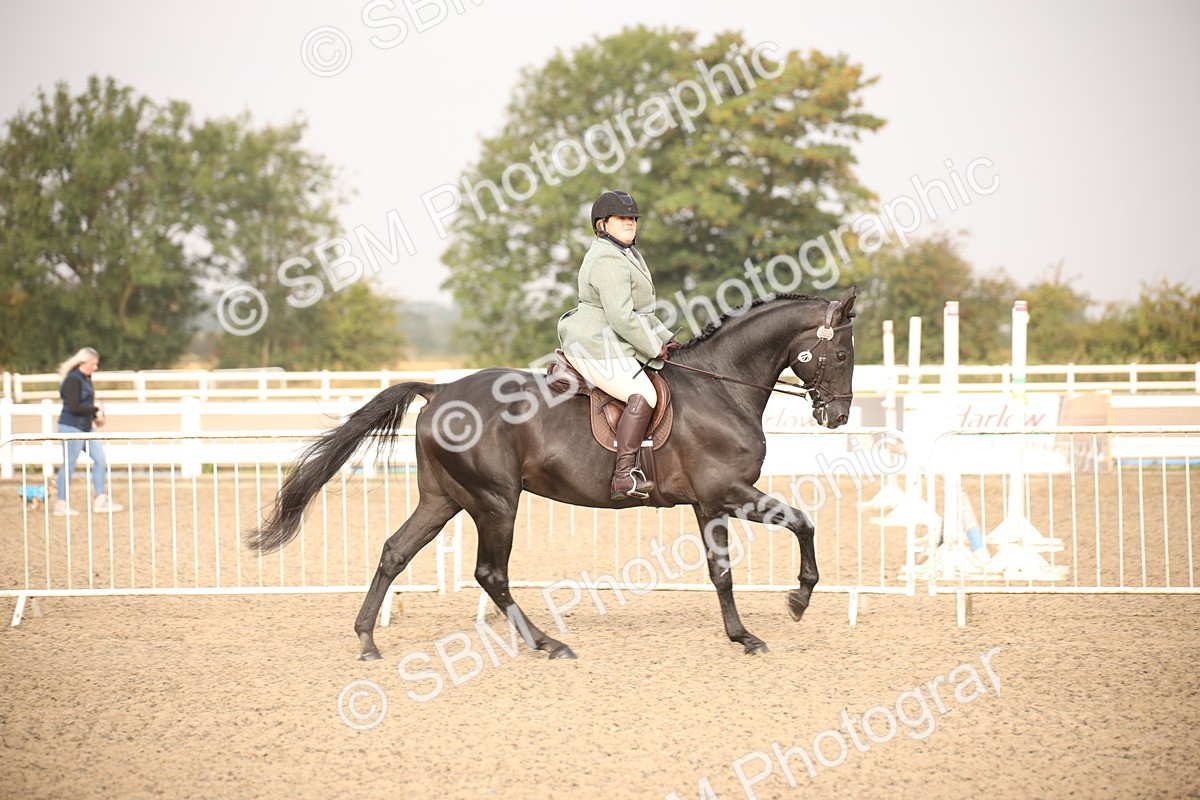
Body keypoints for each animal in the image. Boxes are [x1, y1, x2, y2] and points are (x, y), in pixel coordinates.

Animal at [247, 285, 857, 660]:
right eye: (843, 354)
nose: (838, 417)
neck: (722, 387)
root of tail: (439, 389)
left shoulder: (711, 503)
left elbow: (724, 570)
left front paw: (742, 633)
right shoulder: (726, 492)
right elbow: (799, 524)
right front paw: (795, 602)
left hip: (443, 499)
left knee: (395, 551)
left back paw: (368, 640)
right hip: (495, 501)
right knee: (490, 574)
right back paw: (547, 644)